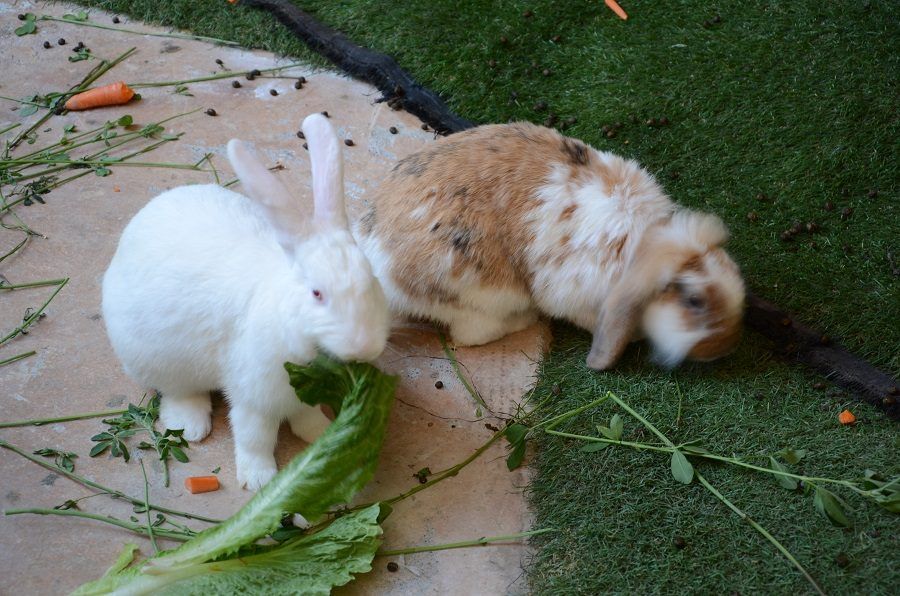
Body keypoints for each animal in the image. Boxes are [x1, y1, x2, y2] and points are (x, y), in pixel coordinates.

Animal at [103, 113, 390, 488]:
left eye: (372, 279)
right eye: (316, 293)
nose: (365, 347)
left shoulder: (300, 397)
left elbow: (308, 415)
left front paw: (321, 433)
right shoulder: (254, 397)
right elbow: (256, 437)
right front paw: (259, 479)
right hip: (156, 359)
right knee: (177, 392)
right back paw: (190, 426)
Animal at [356, 122, 744, 368]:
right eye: (694, 300)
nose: (723, 349)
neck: (639, 247)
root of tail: (376, 265)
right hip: (481, 296)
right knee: (474, 335)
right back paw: (525, 319)